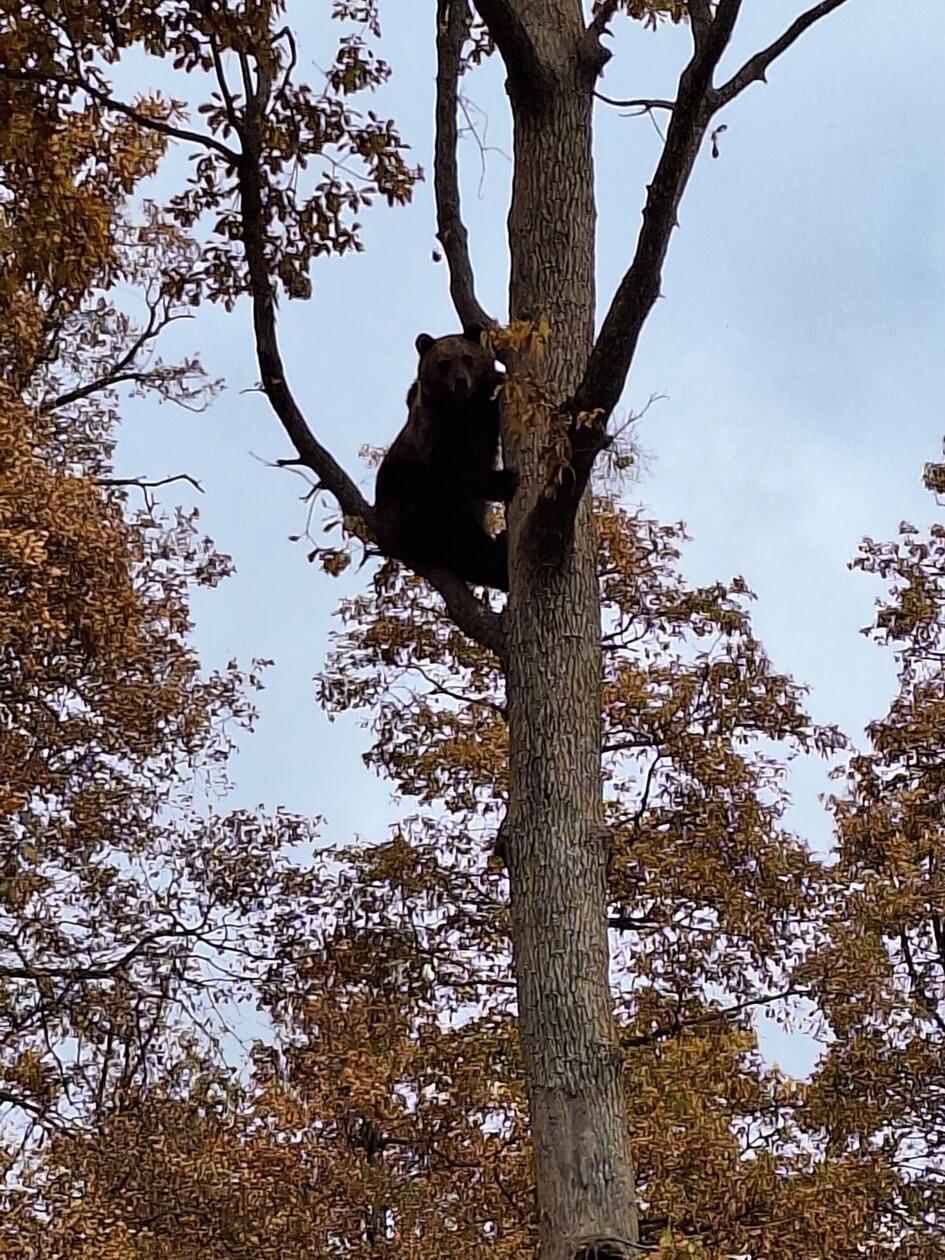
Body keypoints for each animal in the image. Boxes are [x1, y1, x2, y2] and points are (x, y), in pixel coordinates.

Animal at [374, 327, 517, 592]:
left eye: (467, 358)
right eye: (444, 364)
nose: (460, 380)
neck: (462, 408)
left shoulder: (482, 413)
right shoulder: (436, 429)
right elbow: (452, 468)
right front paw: (506, 480)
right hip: (408, 493)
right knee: (456, 535)